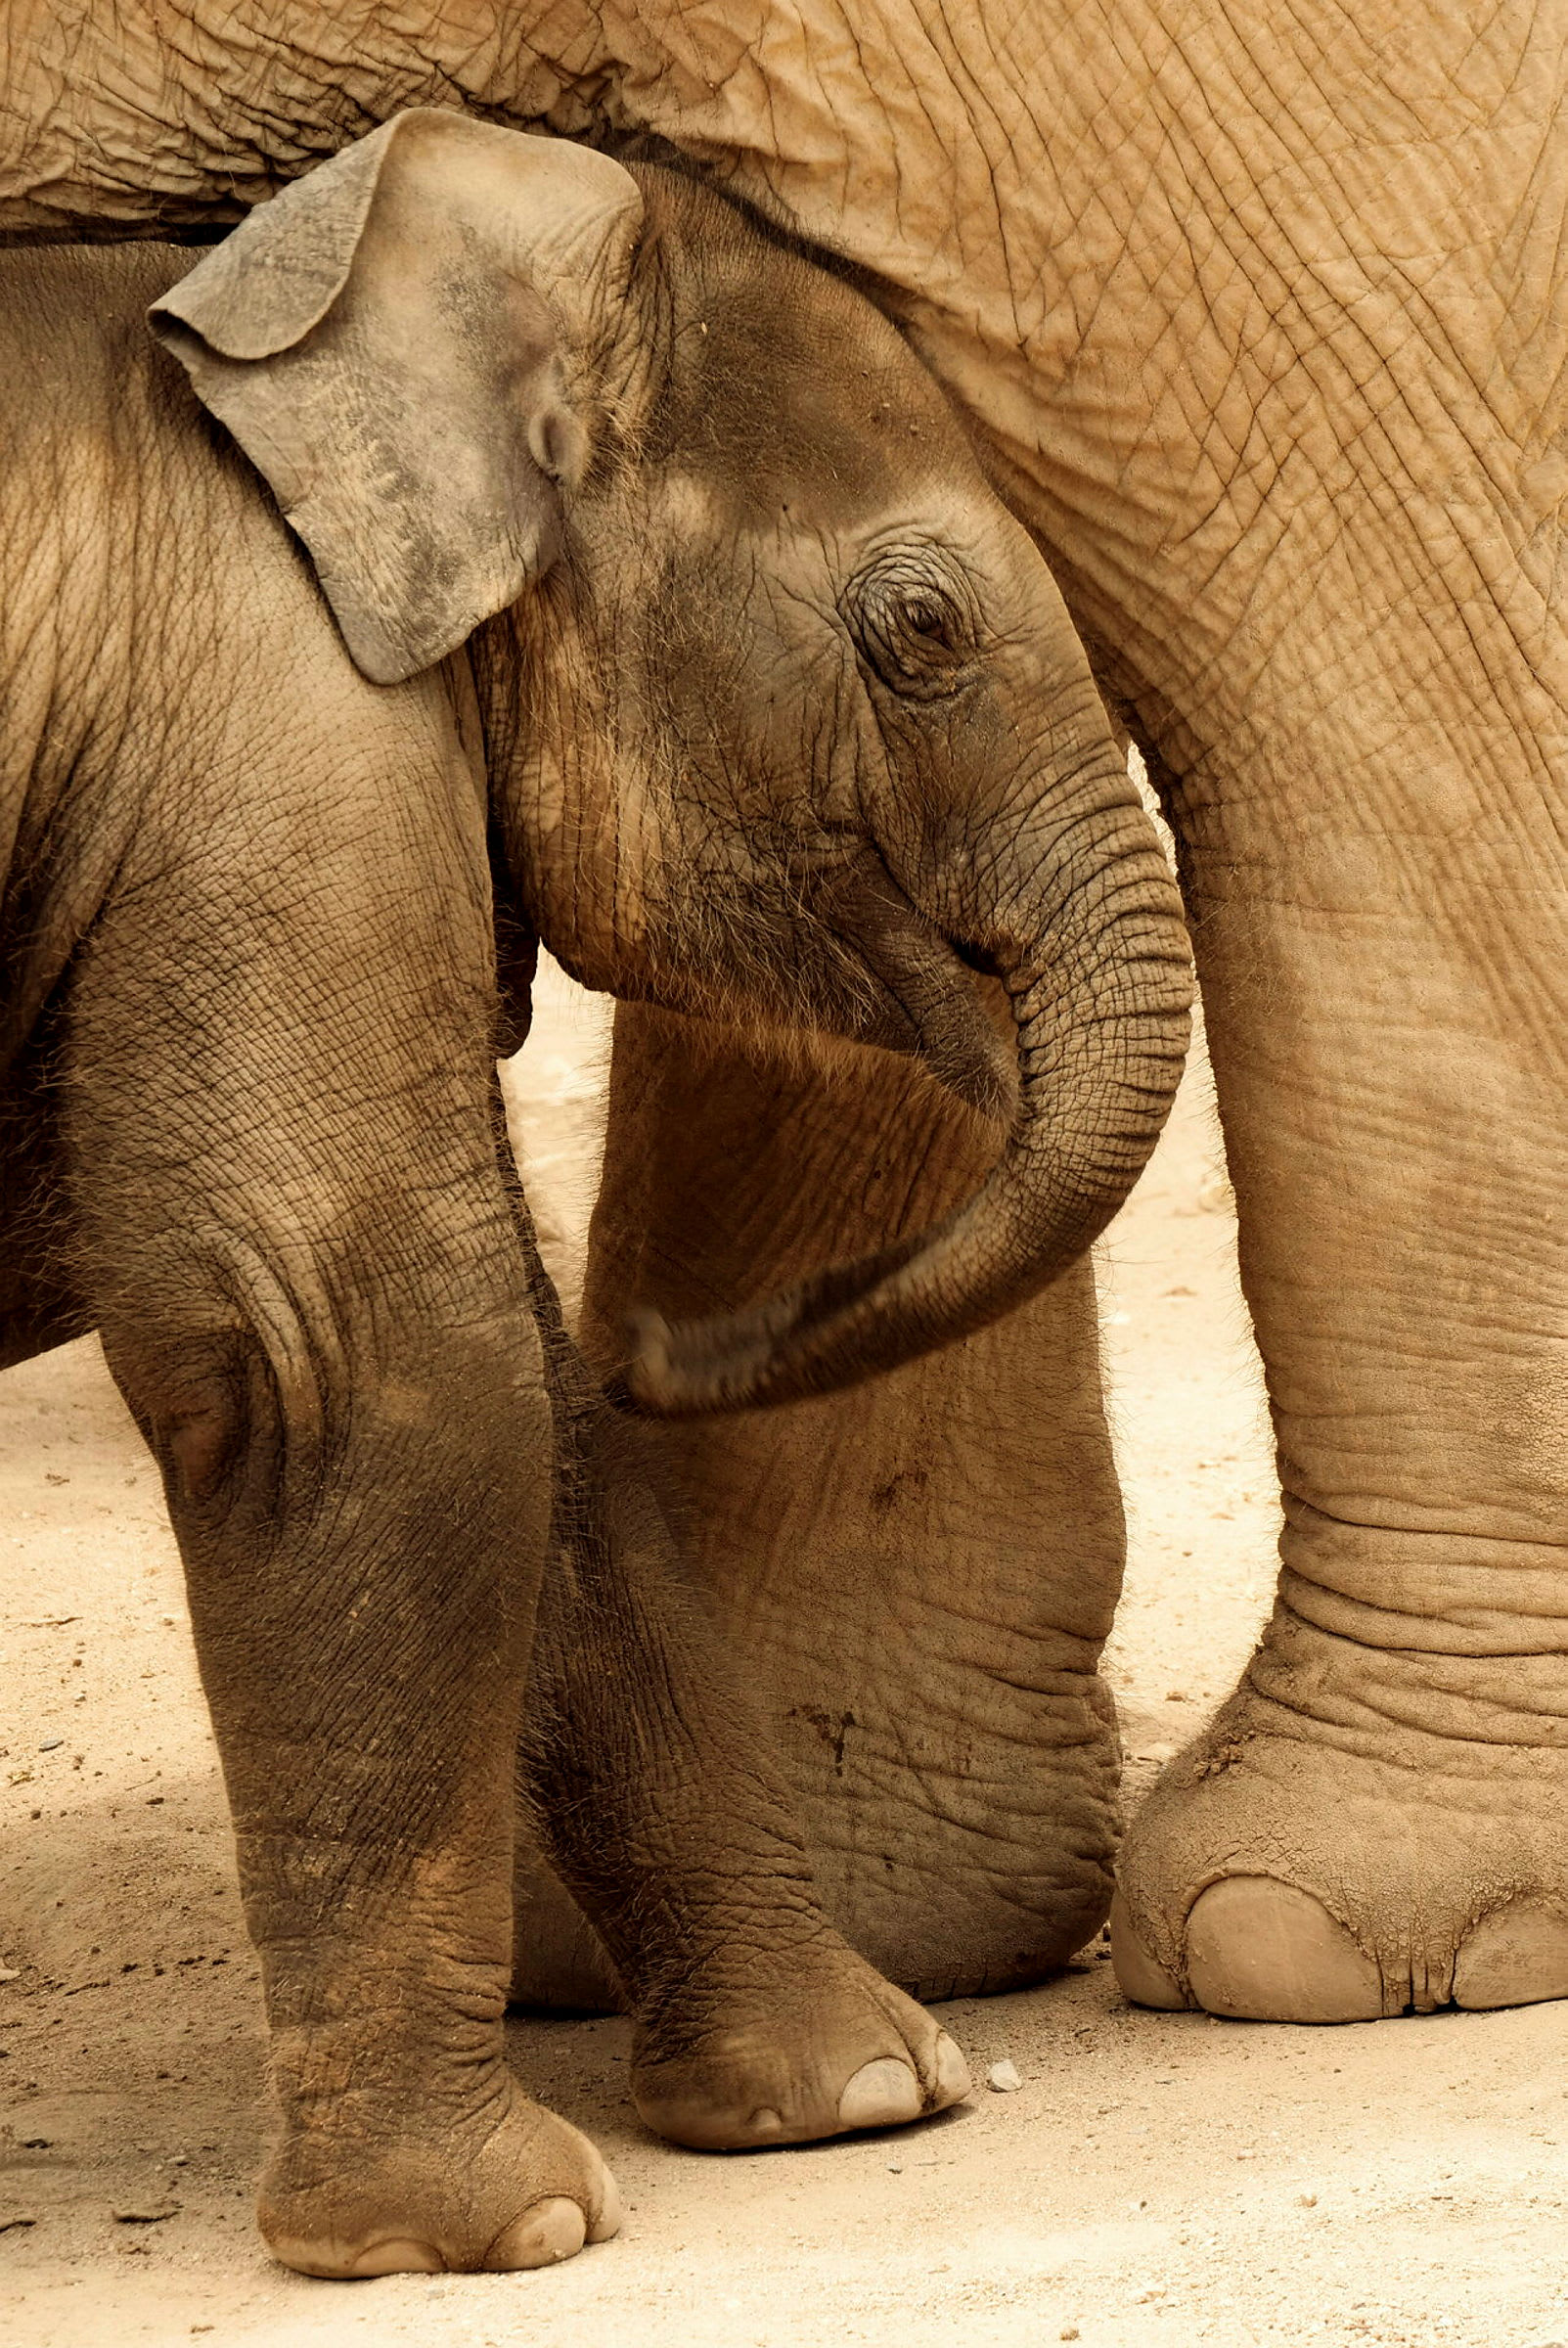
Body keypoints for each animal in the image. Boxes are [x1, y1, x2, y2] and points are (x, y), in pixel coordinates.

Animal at [0, 113, 1192, 2271]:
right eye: (922, 634)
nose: (688, 1328)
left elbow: (540, 1418)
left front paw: (857, 2099)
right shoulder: (263, 745)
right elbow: (368, 1350)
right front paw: (492, 2234)